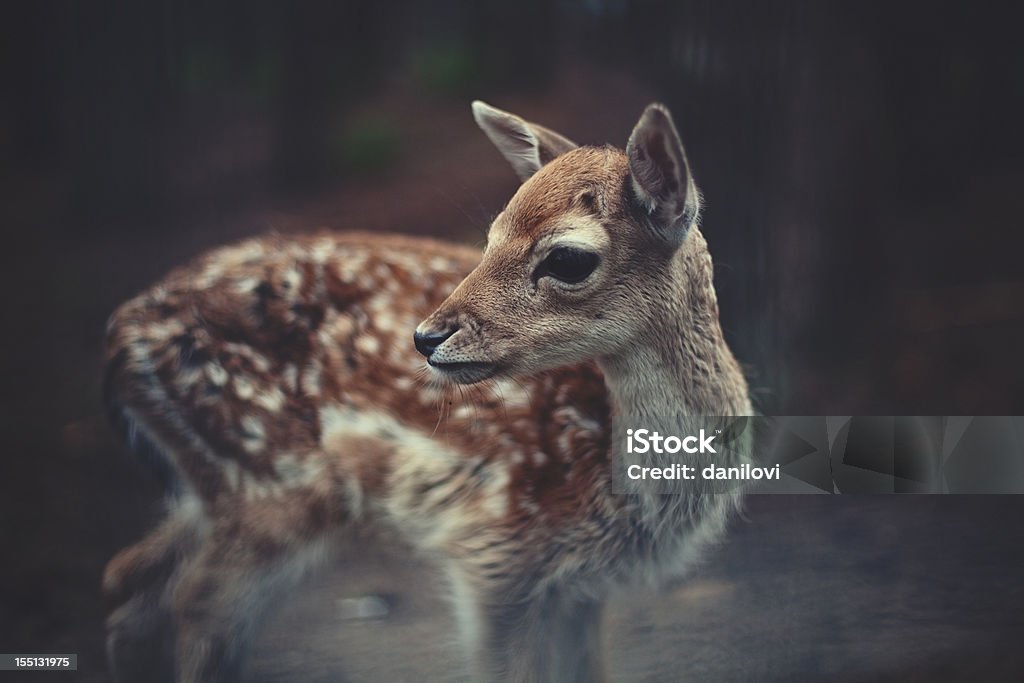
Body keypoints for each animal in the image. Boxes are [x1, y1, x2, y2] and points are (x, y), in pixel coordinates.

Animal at [103, 98, 753, 679]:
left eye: (568, 258)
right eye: (490, 235)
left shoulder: (579, 586)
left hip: (214, 488)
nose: (426, 336)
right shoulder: (493, 550)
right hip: (268, 481)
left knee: (132, 579)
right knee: (195, 603)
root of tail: (118, 336)